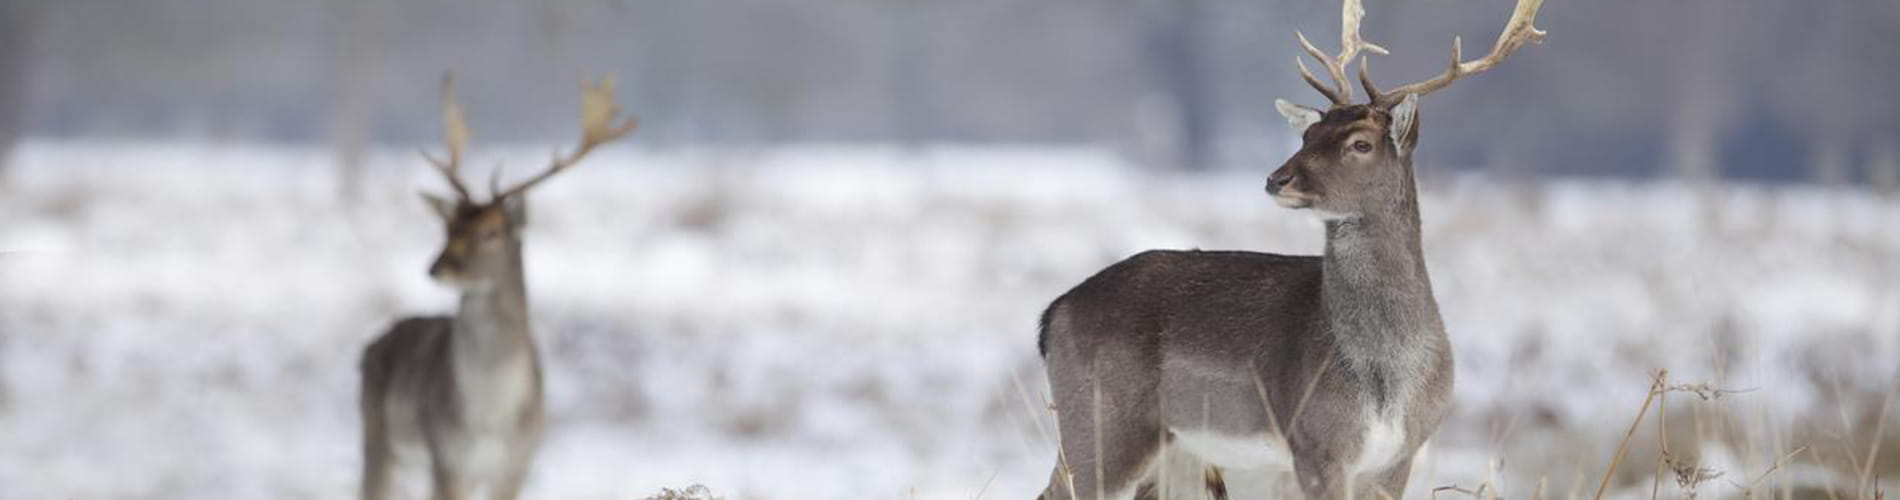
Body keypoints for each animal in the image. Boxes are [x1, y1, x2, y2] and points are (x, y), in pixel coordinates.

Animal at [358, 76, 636, 500]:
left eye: (491, 232)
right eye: (448, 227)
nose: (436, 268)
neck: (491, 419)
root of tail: (375, 341)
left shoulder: (519, 463)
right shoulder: (446, 458)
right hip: (377, 436)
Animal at [1034, 0, 1544, 498]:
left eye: (1361, 143)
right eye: (1307, 135)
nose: (1277, 178)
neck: (1386, 370)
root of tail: (1052, 314)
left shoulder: (1399, 454)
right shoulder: (1316, 441)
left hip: (1168, 452)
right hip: (1101, 422)